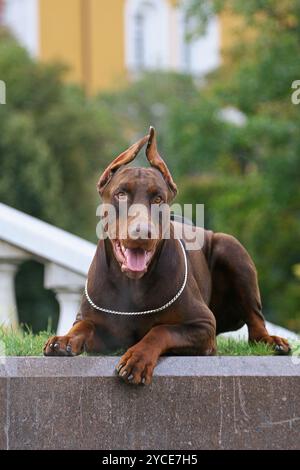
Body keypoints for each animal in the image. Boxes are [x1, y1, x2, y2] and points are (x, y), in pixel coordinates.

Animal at [44, 126, 290, 384]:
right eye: (121, 194)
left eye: (158, 198)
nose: (142, 232)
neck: (132, 285)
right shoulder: (99, 328)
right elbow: (82, 327)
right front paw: (64, 340)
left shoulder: (203, 326)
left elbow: (160, 330)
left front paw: (137, 360)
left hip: (232, 248)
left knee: (255, 318)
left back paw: (272, 341)